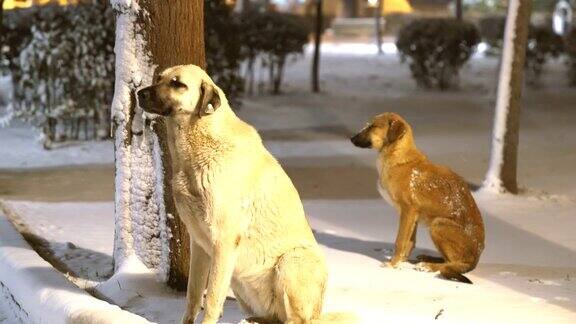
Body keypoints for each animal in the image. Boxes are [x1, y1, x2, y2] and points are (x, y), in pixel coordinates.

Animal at [137, 64, 354, 322]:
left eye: (177, 84)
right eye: (159, 78)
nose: (139, 94)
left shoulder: (223, 242)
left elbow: (211, 301)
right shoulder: (199, 245)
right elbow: (193, 297)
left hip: (290, 262)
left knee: (297, 319)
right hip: (239, 281)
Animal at [348, 113, 484, 284]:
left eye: (373, 126)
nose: (351, 138)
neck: (397, 158)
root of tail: (474, 260)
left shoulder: (408, 211)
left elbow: (400, 241)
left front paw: (393, 264)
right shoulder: (413, 215)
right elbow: (409, 242)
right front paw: (402, 262)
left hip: (438, 224)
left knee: (451, 263)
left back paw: (428, 266)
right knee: (448, 261)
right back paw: (426, 258)